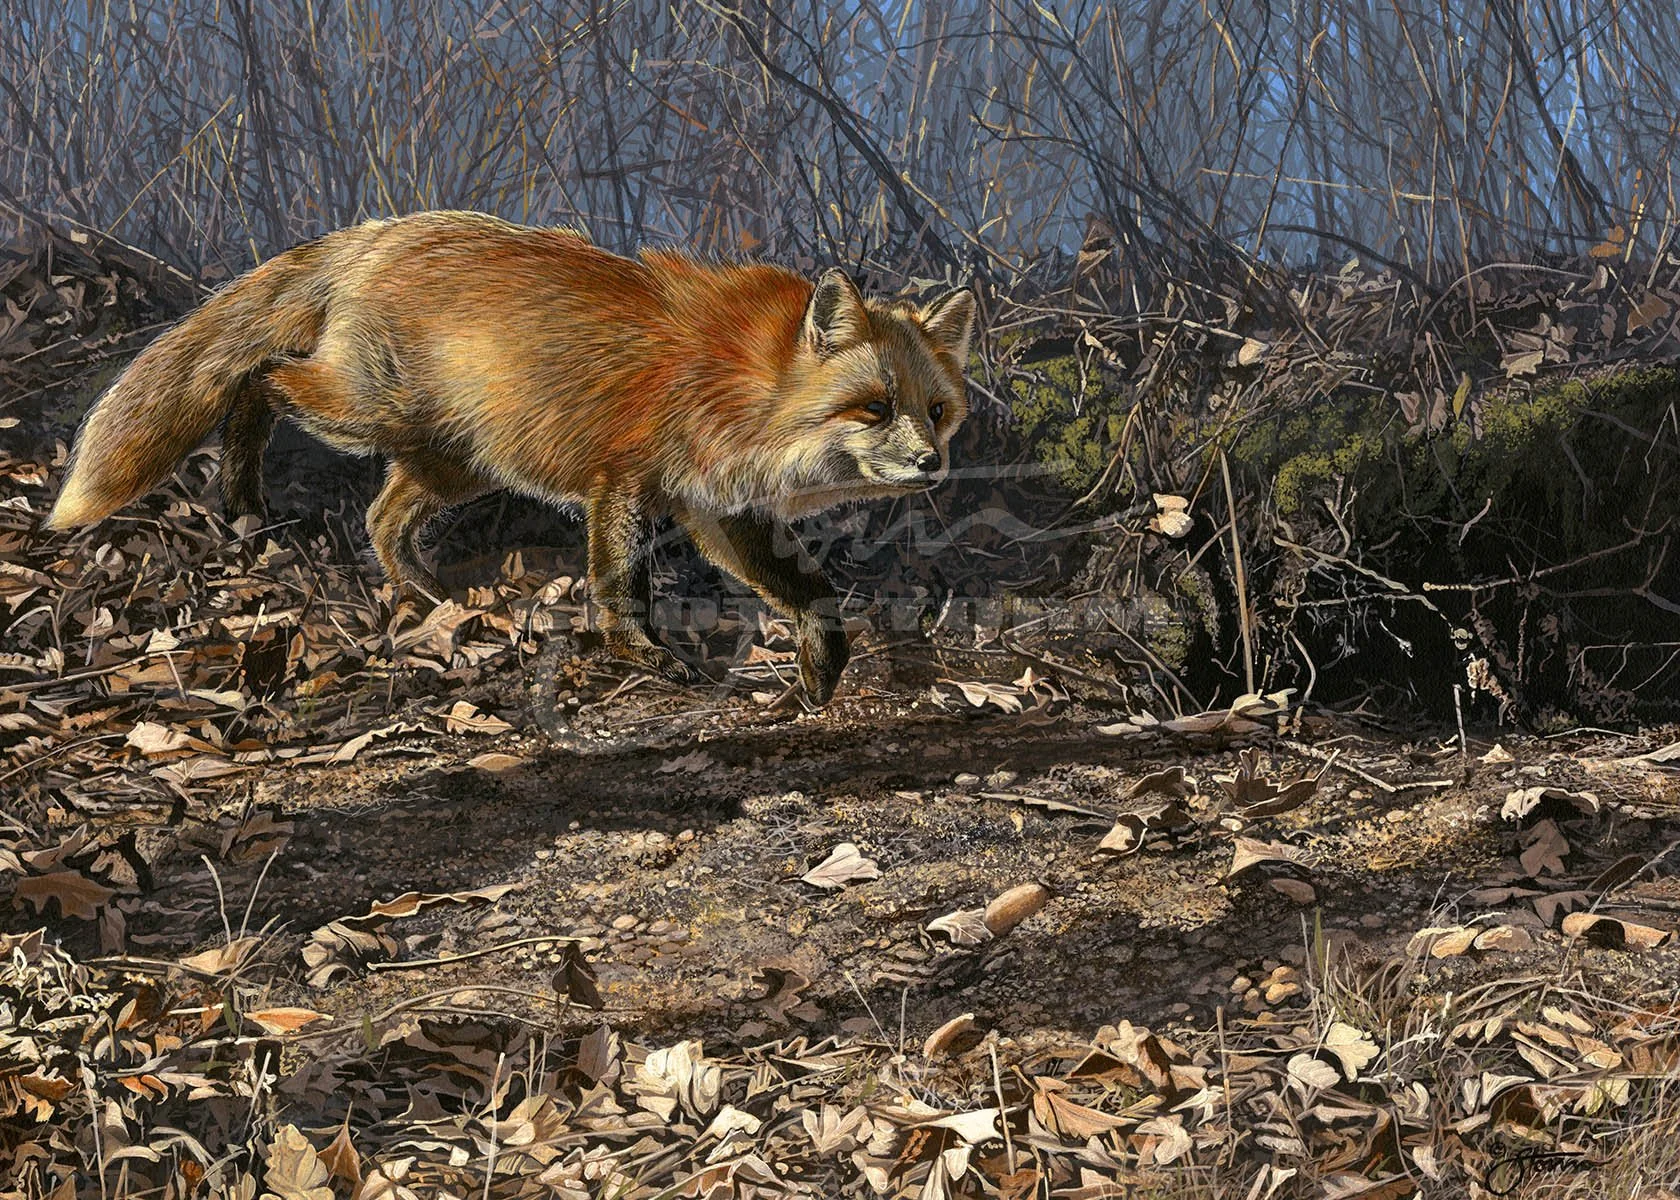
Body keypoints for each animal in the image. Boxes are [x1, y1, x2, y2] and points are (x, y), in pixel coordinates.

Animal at [45, 211, 976, 703]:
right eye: (874, 407)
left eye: (936, 412)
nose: (931, 466)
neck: (744, 386)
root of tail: (384, 232)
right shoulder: (624, 481)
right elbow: (618, 586)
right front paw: (641, 659)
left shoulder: (718, 510)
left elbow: (811, 595)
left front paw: (821, 676)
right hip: (360, 410)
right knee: (257, 378)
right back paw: (242, 496)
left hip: (452, 465)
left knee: (381, 517)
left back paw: (427, 598)